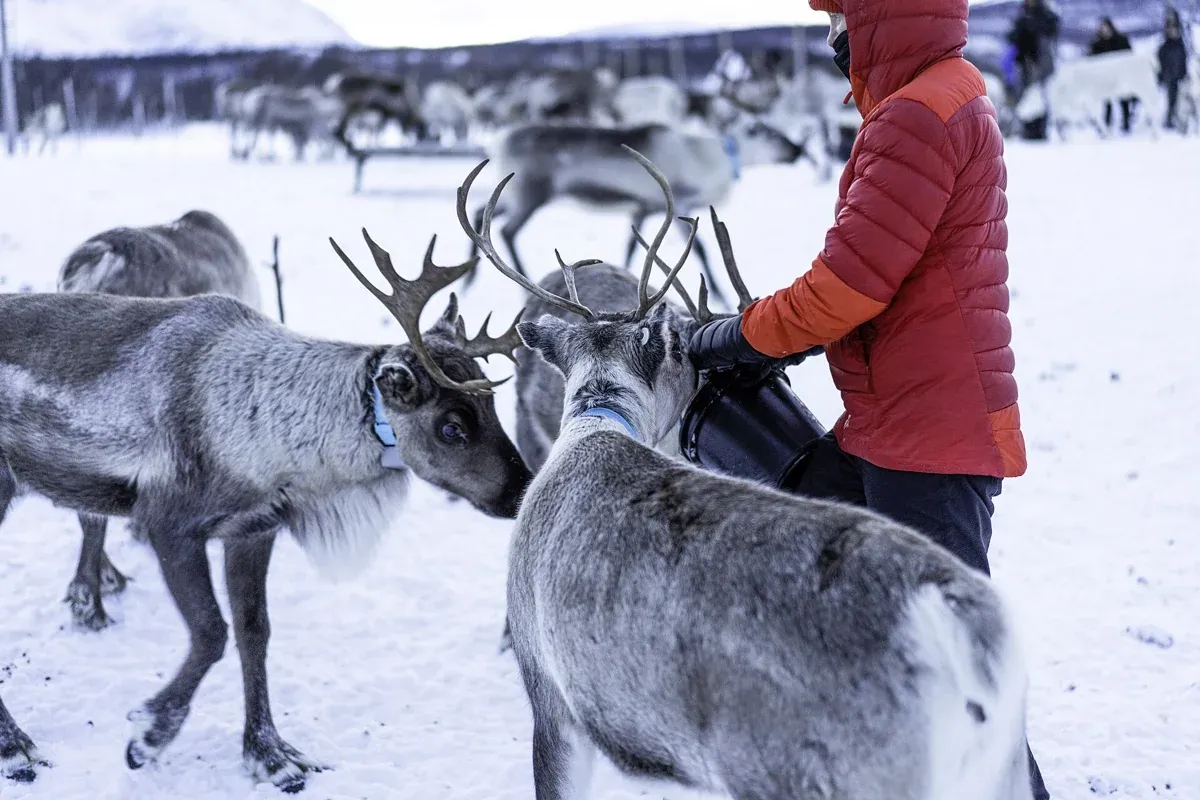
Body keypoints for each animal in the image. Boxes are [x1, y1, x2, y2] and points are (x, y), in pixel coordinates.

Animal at [459, 119, 815, 308]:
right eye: (772, 134)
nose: (798, 149)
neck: (709, 160)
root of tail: (496, 144)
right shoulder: (680, 203)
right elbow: (701, 249)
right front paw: (722, 296)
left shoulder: (644, 208)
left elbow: (633, 247)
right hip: (531, 194)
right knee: (506, 231)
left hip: (514, 196)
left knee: (478, 212)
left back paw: (469, 277)